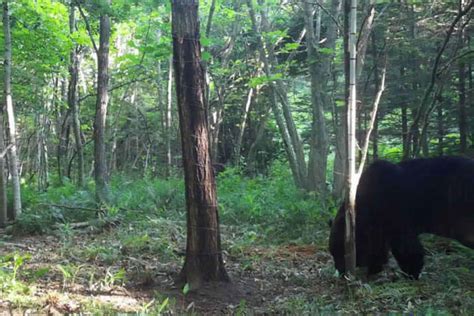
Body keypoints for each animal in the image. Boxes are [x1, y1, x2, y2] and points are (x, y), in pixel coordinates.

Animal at [330, 157, 474, 278]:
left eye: (340, 251)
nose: (341, 272)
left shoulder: (396, 219)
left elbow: (406, 248)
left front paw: (411, 273)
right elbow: (379, 249)